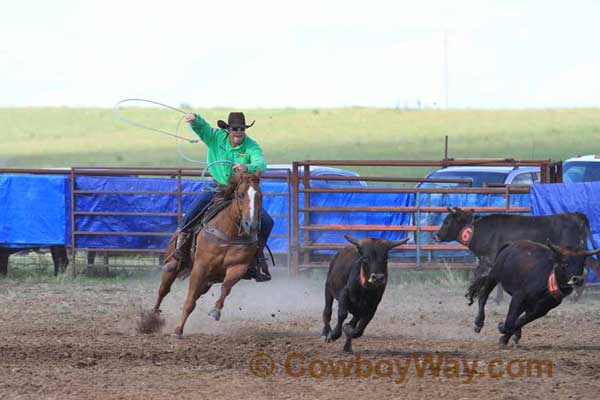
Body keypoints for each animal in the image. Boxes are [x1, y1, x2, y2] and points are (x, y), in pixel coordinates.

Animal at [152, 172, 262, 338]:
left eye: (259, 195)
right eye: (241, 195)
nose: (252, 225)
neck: (229, 233)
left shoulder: (239, 267)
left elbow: (226, 286)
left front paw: (216, 310)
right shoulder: (200, 267)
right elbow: (189, 302)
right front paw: (178, 330)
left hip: (207, 282)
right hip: (172, 266)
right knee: (163, 290)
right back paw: (151, 318)